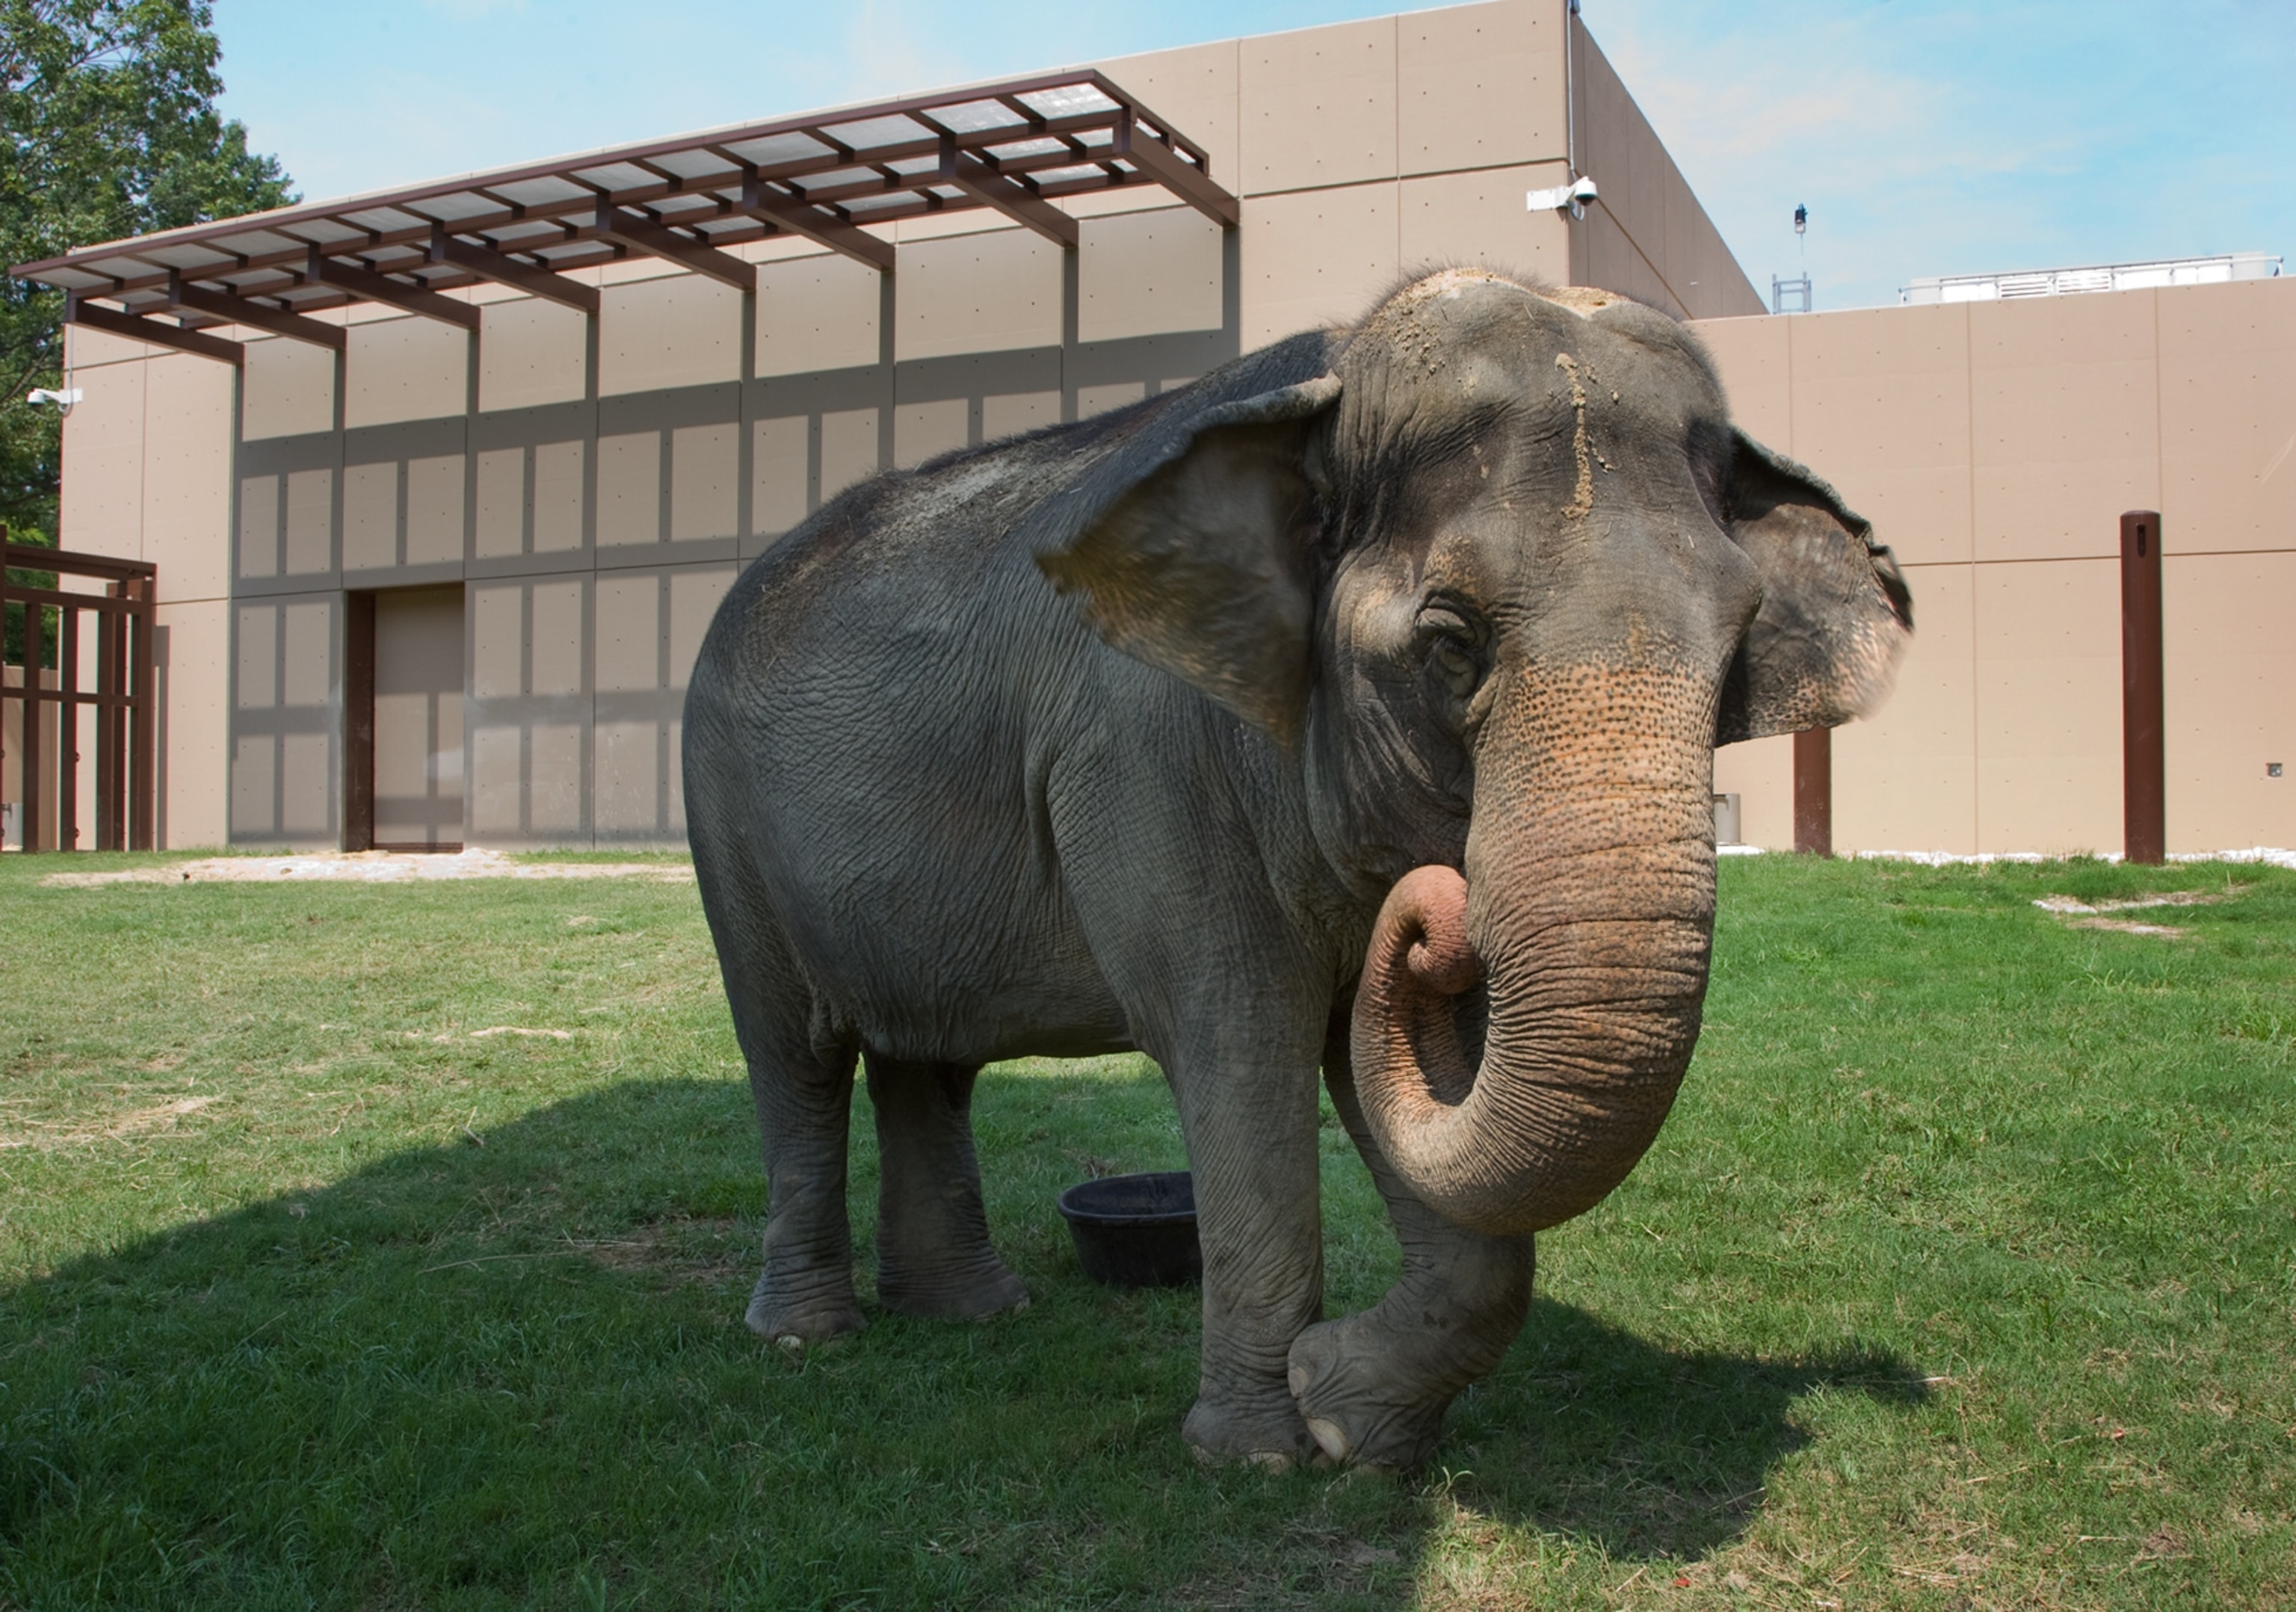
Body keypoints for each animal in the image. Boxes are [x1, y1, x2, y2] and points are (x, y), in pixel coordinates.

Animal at [682, 268, 1912, 1470]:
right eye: (1451, 641)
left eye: (1737, 647)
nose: (1436, 910)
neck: (1327, 383)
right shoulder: (1149, 760)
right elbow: (1241, 1045)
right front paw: (1256, 1459)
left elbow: (1413, 1072)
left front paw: (1349, 1423)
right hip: (723, 823)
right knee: (795, 1056)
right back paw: (806, 1337)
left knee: (925, 1063)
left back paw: (973, 1313)